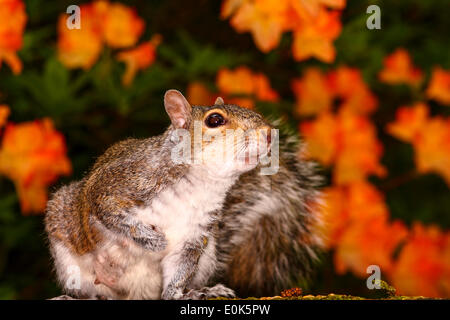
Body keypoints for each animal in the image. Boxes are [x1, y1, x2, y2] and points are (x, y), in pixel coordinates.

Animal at [44, 89, 324, 298]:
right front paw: (153, 240)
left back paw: (203, 291)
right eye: (215, 120)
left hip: (208, 256)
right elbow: (111, 214)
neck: (200, 184)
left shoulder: (194, 235)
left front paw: (178, 294)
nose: (268, 134)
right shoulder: (115, 186)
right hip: (69, 256)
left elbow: (179, 269)